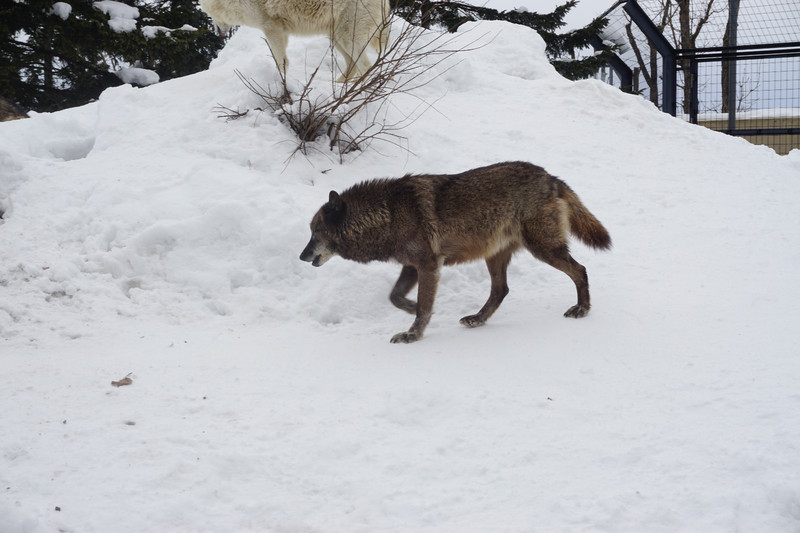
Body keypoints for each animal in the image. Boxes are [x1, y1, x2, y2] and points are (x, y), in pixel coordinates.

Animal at [198, 0, 390, 81]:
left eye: (209, 14)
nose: (218, 33)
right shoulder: (281, 31)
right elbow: (282, 60)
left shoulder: (271, 27)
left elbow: (280, 61)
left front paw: (281, 82)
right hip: (336, 38)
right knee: (352, 65)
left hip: (347, 37)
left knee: (365, 66)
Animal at [300, 160, 612, 342]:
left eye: (315, 232)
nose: (302, 256)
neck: (387, 215)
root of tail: (550, 177)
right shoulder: (413, 266)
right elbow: (395, 296)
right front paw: (410, 308)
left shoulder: (428, 265)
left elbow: (423, 306)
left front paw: (413, 334)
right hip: (496, 256)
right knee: (501, 290)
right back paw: (477, 319)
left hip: (544, 249)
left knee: (580, 270)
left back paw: (582, 309)